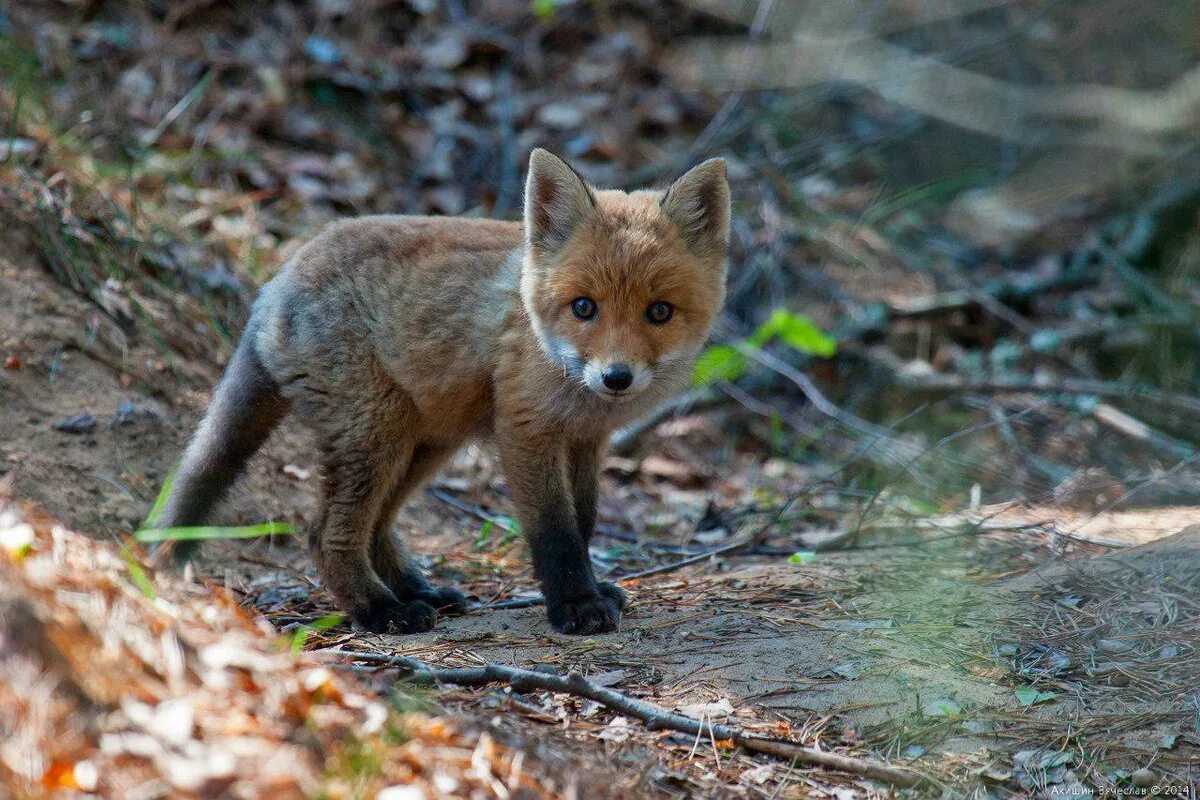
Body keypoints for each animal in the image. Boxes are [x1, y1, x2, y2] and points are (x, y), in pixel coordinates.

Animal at [159, 149, 729, 633]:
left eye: (659, 312)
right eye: (584, 307)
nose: (616, 377)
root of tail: (276, 281)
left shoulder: (586, 440)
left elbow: (584, 523)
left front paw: (588, 590)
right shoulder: (526, 431)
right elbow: (557, 533)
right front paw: (575, 604)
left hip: (425, 443)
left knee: (377, 527)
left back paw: (418, 592)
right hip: (378, 433)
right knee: (325, 534)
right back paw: (380, 610)